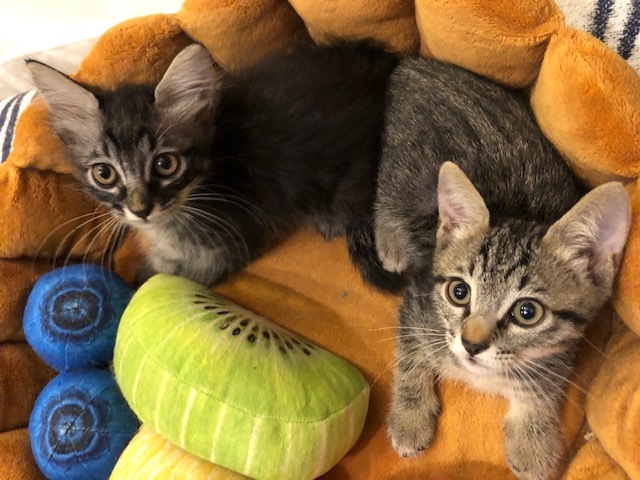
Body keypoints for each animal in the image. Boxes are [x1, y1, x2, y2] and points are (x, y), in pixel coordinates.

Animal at [27, 41, 403, 288]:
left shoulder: (236, 239)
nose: (140, 210)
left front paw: (142, 278)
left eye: (165, 164)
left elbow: (188, 275)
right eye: (104, 174)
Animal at [372, 58, 631, 479]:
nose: (471, 344)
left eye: (527, 312)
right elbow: (411, 356)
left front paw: (533, 440)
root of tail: (413, 63)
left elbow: (542, 387)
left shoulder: (564, 349)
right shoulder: (416, 306)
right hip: (393, 173)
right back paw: (390, 241)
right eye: (459, 292)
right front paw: (410, 418)